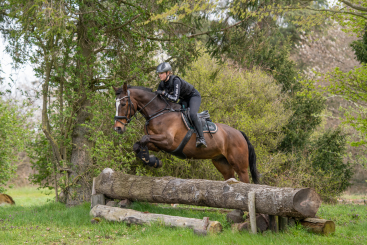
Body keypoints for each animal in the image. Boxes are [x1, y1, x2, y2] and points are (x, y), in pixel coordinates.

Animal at [113, 83, 260, 184]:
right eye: (115, 104)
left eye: (124, 104)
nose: (118, 128)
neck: (159, 113)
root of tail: (240, 133)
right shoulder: (157, 144)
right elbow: (138, 144)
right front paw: (153, 161)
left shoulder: (168, 141)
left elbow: (144, 139)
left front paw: (152, 161)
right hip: (221, 162)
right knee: (230, 178)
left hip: (240, 165)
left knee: (245, 181)